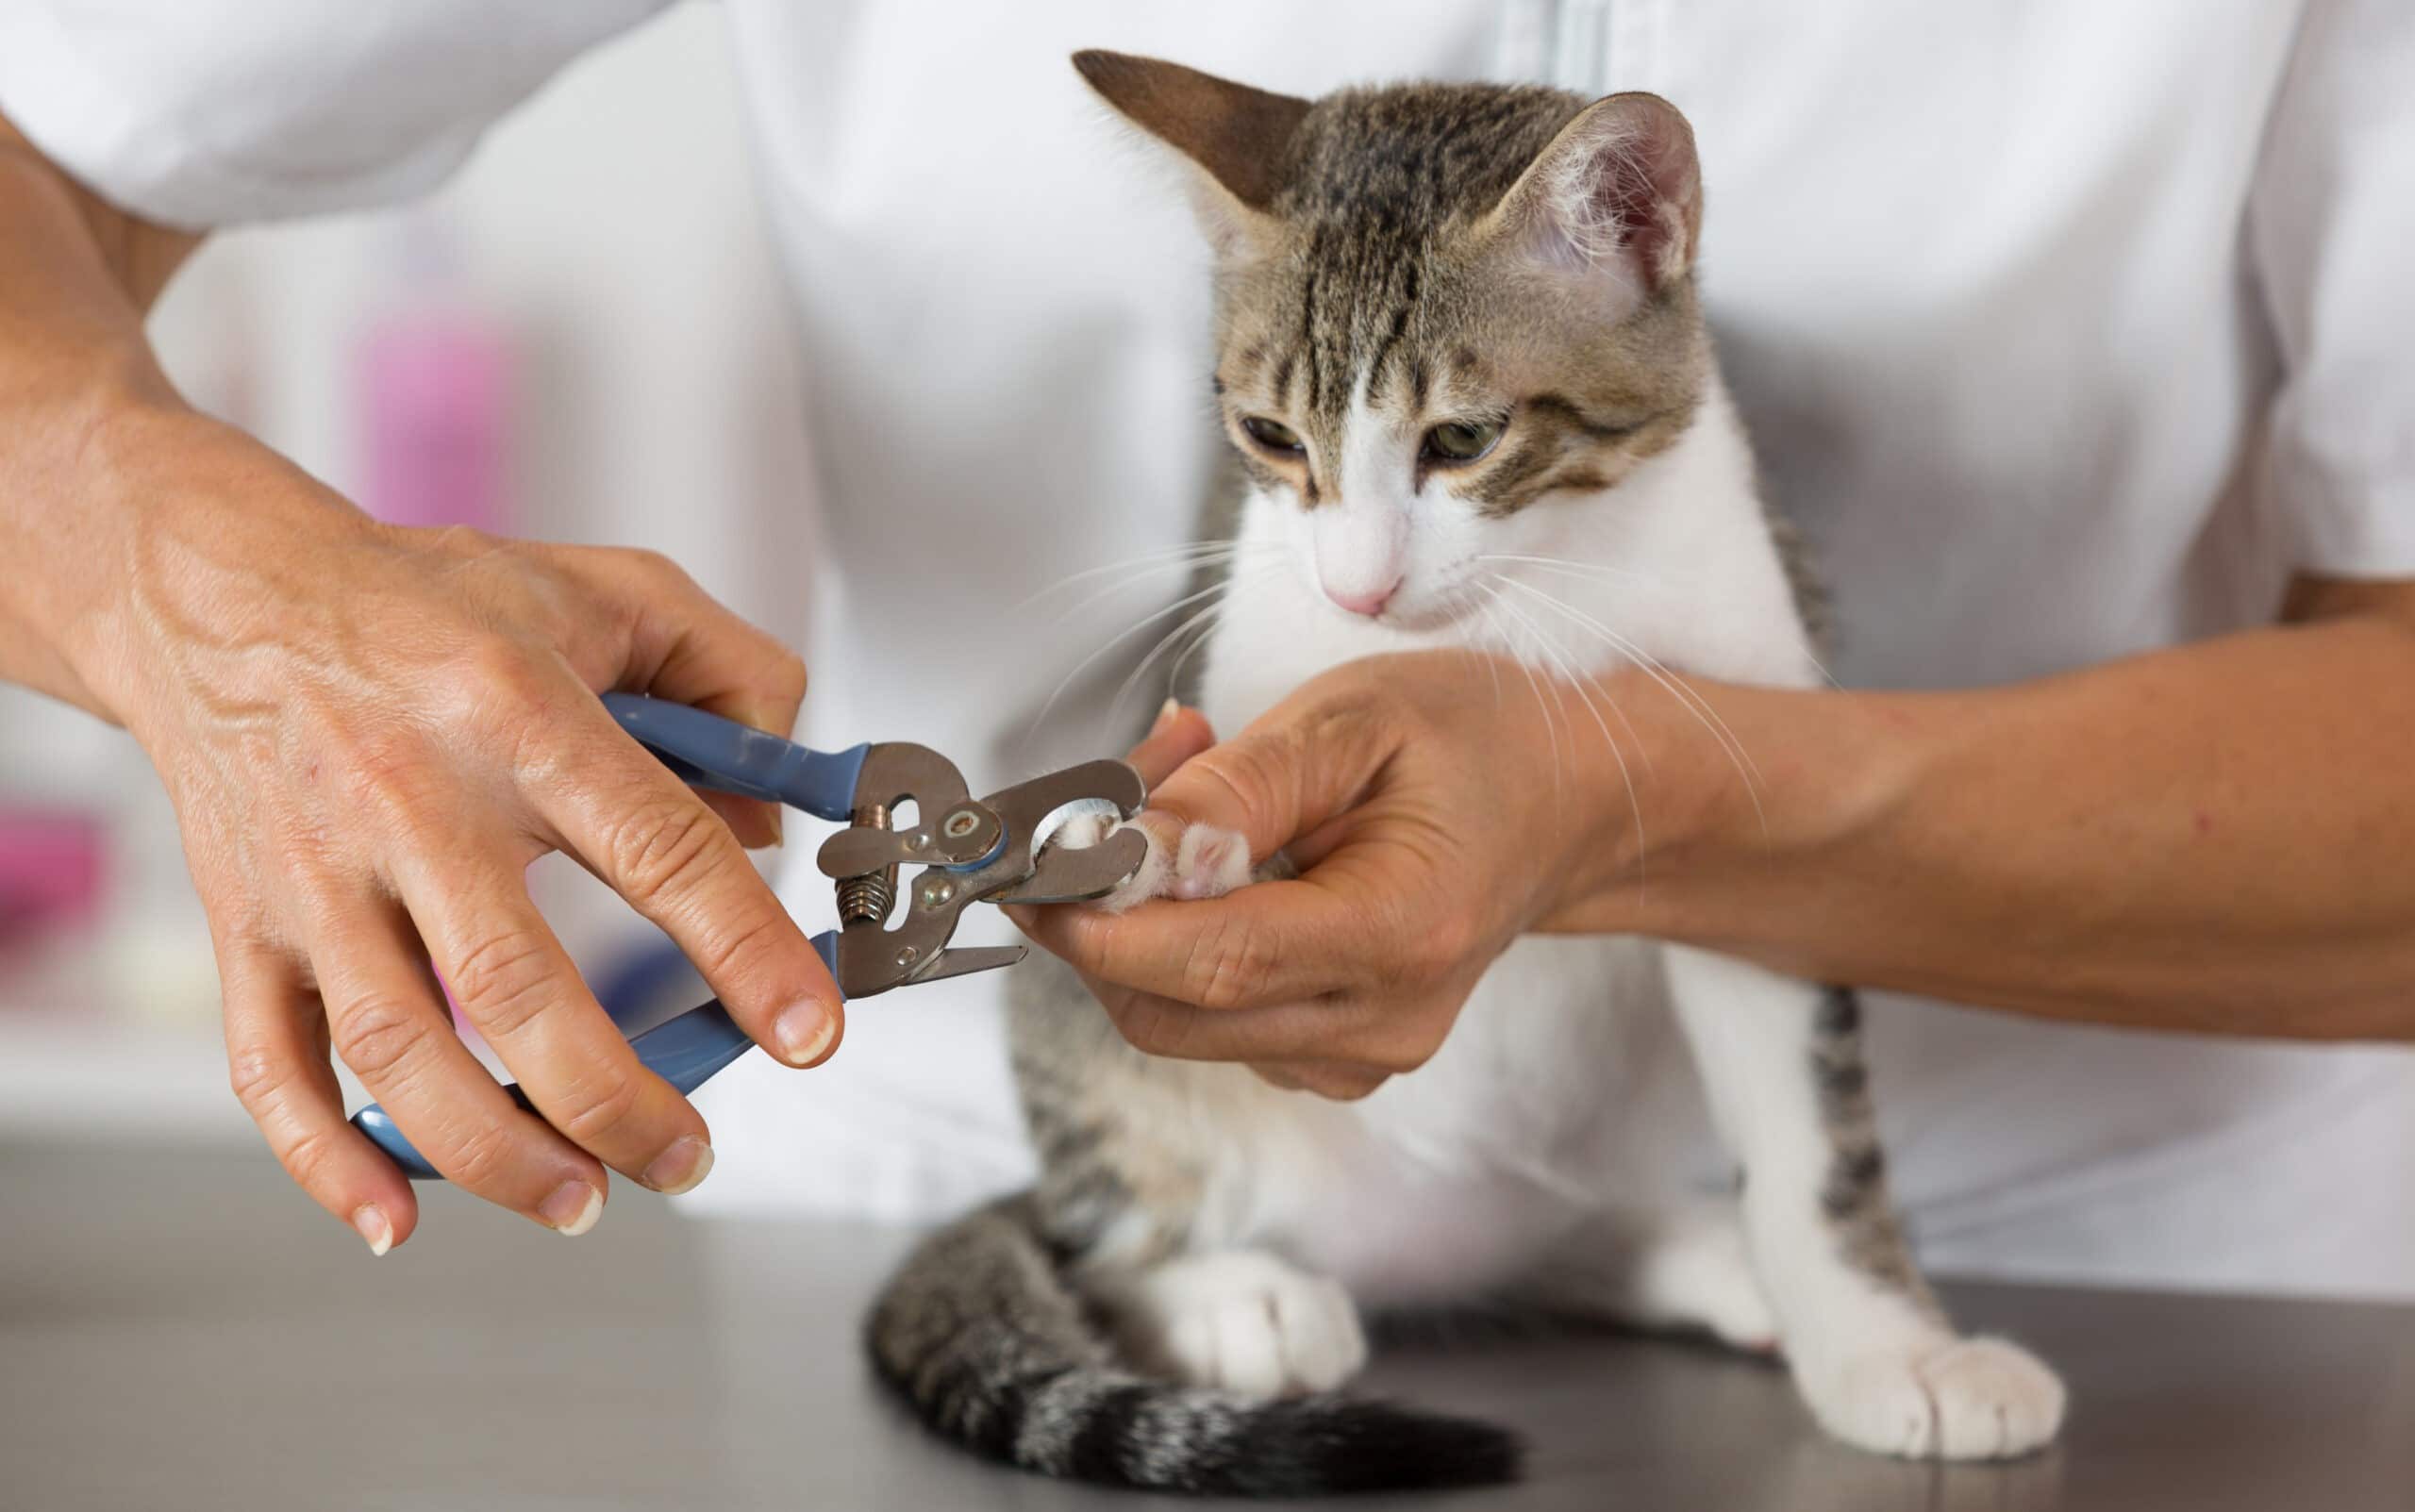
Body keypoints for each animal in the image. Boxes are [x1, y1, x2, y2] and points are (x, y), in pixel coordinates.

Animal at [859, 50, 2067, 1497]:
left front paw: (1888, 1345)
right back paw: (1226, 1290)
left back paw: (1696, 1252)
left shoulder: (1756, 757)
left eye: (1463, 439)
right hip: (1102, 1083)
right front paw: (1183, 842)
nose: (1358, 586)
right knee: (1102, 1217)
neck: (1522, 606)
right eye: (1271, 436)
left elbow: (1814, 1130)